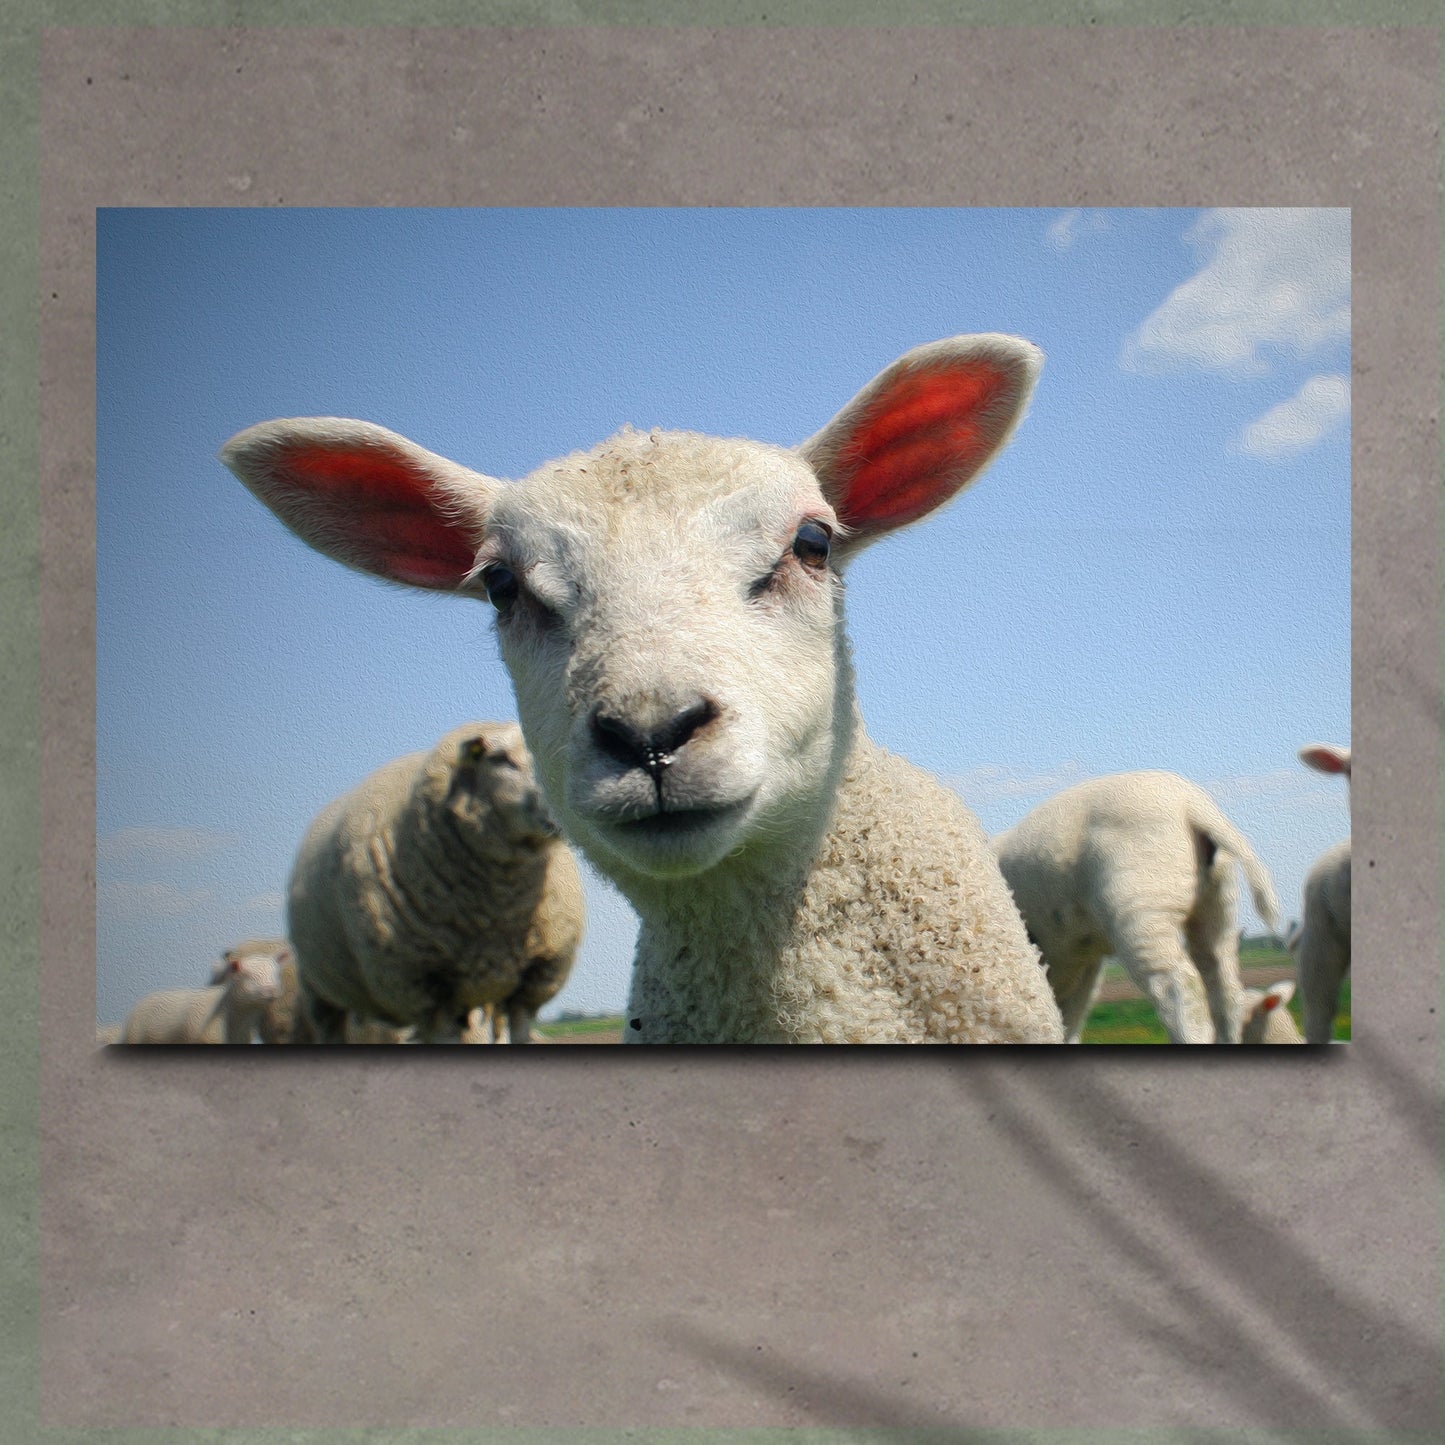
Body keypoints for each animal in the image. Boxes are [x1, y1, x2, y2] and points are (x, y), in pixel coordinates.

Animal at [279, 721, 584, 1044]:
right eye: (500, 759)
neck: (497, 912)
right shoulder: (424, 987)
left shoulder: (534, 978)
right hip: (317, 988)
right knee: (330, 1027)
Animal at [992, 771, 1280, 1044]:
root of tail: (1192, 805)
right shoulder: (1080, 965)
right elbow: (1068, 1020)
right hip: (1216, 903)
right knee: (1223, 987)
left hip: (1141, 906)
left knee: (1179, 986)